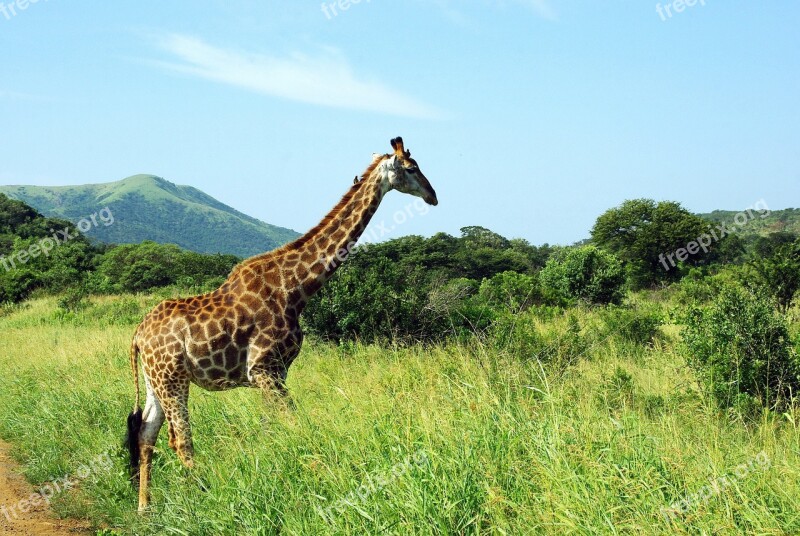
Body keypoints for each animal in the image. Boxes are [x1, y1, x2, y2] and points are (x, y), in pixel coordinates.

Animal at [126, 136, 438, 508]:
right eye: (412, 168)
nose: (433, 196)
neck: (296, 288)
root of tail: (138, 335)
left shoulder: (275, 373)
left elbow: (270, 427)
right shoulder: (265, 369)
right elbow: (292, 423)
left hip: (155, 381)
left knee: (146, 433)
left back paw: (145, 507)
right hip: (173, 379)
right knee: (180, 440)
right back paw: (201, 497)